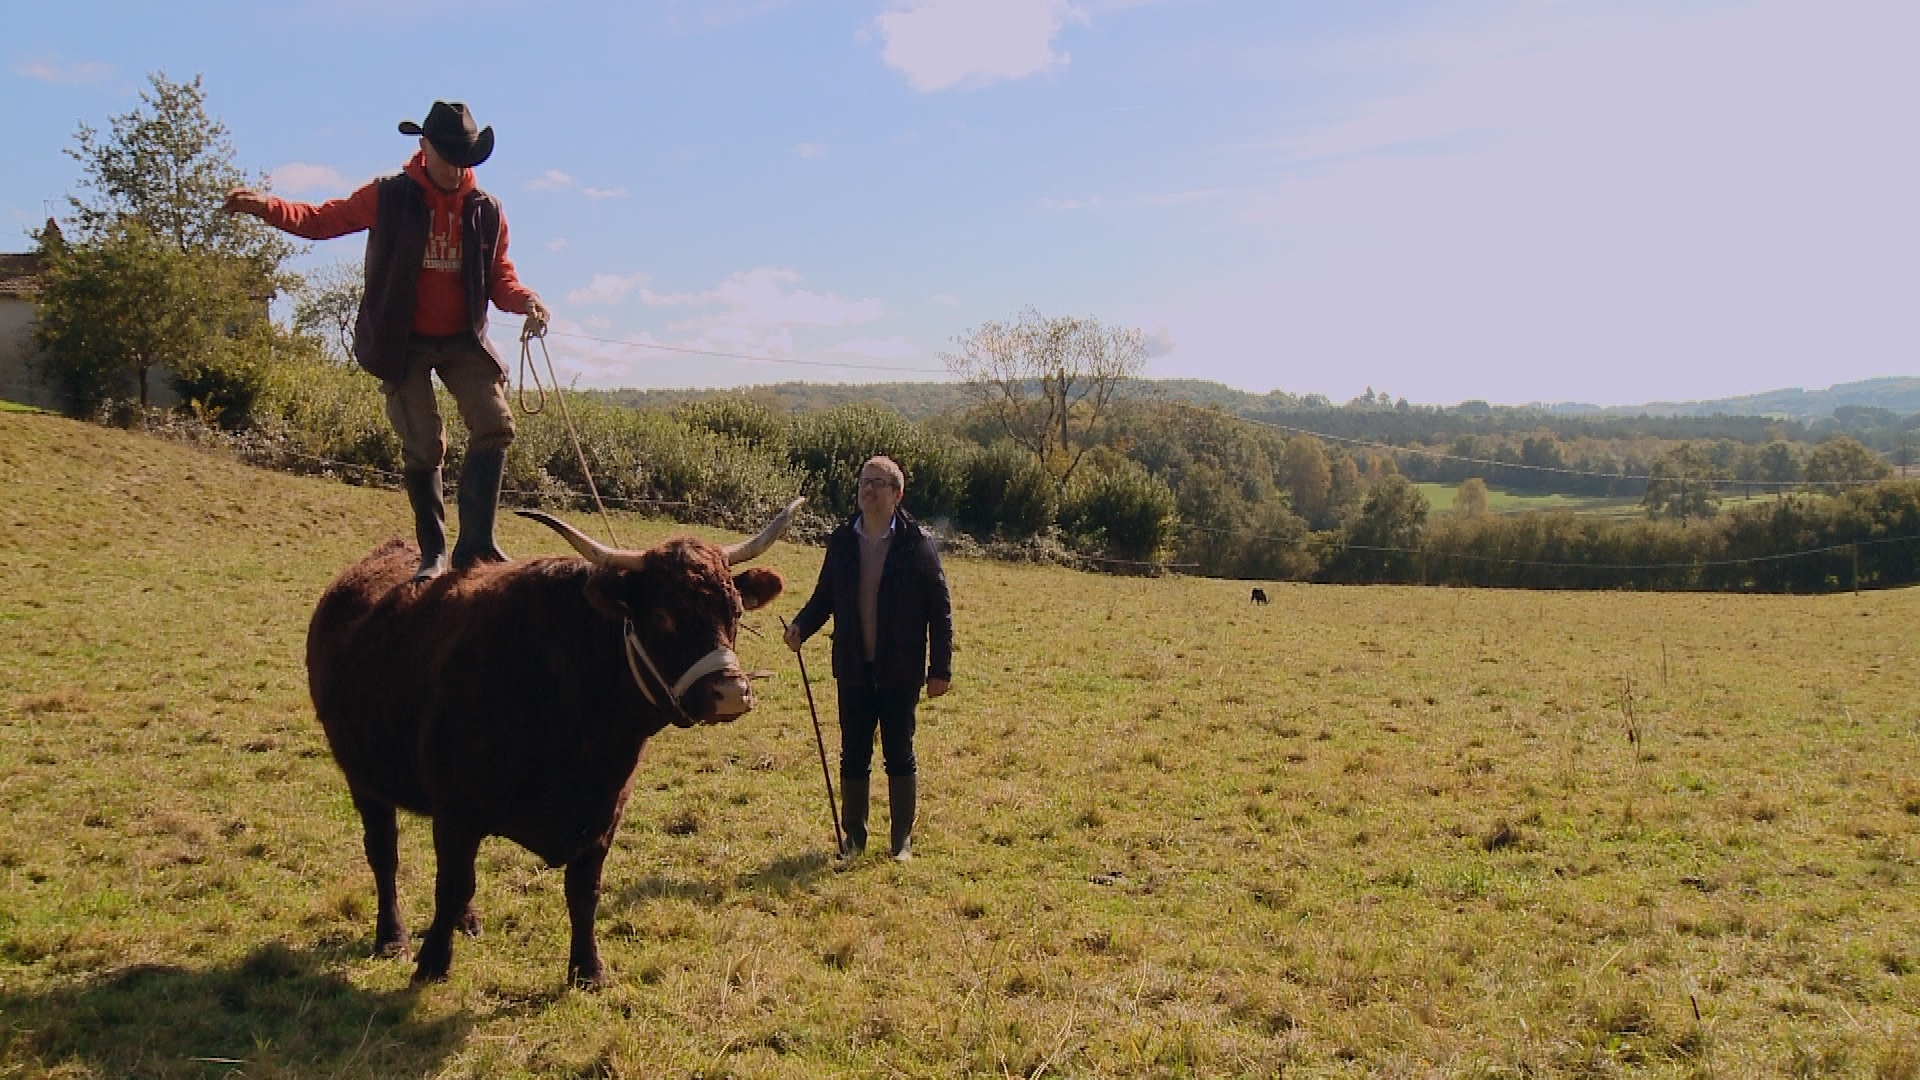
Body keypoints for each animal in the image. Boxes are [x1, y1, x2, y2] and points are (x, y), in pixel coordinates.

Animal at [307, 495, 802, 983]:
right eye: (663, 616)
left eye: (735, 611)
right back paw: (392, 938)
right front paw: (431, 965)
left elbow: (583, 892)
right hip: (364, 779)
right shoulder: (455, 809)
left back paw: (467, 921)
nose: (731, 692)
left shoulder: (605, 814)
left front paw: (588, 969)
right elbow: (450, 884)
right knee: (383, 855)